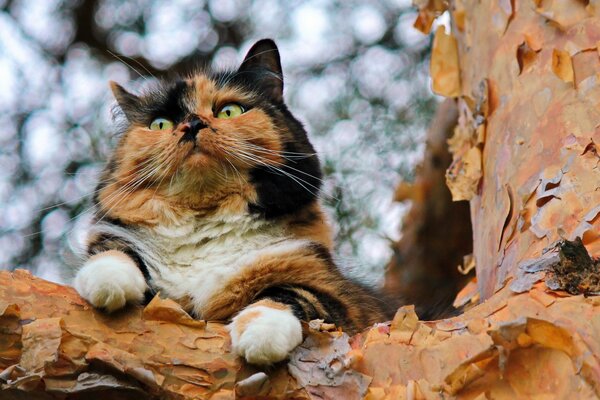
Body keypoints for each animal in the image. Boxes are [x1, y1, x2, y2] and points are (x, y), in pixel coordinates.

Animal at [72, 39, 390, 366]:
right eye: (159, 124)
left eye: (229, 111)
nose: (192, 124)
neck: (203, 226)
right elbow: (113, 250)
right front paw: (108, 280)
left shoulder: (342, 298)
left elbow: (293, 295)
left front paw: (261, 333)